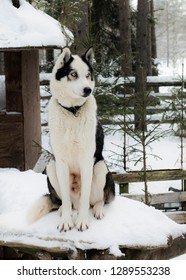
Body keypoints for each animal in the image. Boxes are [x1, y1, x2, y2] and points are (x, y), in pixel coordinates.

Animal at [28, 47, 115, 232]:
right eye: (73, 74)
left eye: (88, 75)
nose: (88, 90)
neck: (73, 111)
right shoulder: (61, 162)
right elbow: (67, 202)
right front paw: (66, 221)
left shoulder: (87, 160)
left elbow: (85, 200)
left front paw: (82, 221)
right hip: (51, 166)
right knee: (68, 202)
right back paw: (62, 209)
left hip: (100, 168)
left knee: (98, 200)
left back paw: (98, 209)